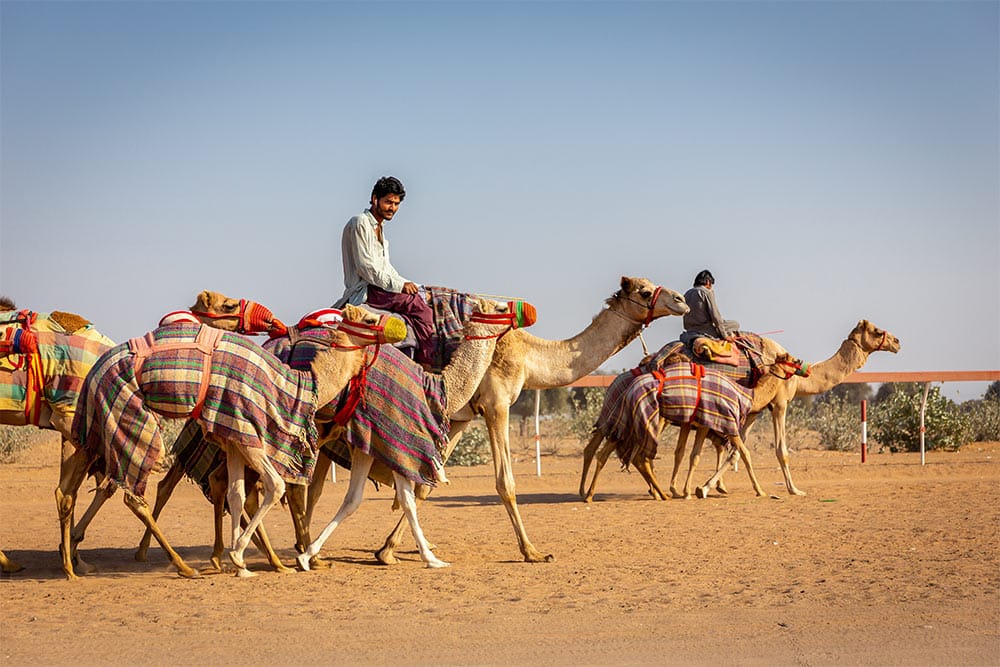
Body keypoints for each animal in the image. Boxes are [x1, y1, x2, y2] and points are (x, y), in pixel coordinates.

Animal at [55, 302, 402, 580]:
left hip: (94, 420)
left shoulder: (232, 435)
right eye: (370, 319)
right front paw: (238, 555)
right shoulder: (250, 433)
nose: (397, 328)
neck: (295, 386)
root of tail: (96, 368)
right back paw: (183, 566)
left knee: (70, 488)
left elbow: (236, 494)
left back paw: (72, 565)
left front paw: (240, 564)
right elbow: (275, 486)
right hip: (127, 412)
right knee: (130, 490)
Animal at [372, 274, 692, 568]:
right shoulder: (497, 404)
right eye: (645, 291)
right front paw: (532, 551)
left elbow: (425, 485)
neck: (528, 356)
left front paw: (386, 550)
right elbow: (506, 482)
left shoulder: (462, 416)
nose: (681, 301)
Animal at [584, 350, 808, 500]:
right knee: (639, 456)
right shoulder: (726, 421)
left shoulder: (702, 423)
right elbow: (744, 453)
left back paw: (590, 494)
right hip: (648, 418)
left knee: (608, 451)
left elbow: (692, 454)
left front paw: (687, 490)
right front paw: (760, 490)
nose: (803, 365)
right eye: (792, 360)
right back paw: (658, 494)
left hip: (628, 420)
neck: (748, 395)